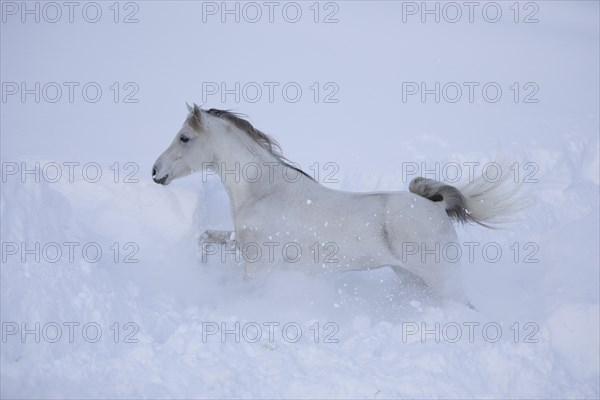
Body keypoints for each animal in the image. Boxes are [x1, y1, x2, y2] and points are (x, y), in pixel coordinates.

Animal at [152, 104, 524, 306]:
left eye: (184, 137)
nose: (156, 172)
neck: (264, 191)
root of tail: (435, 207)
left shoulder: (258, 267)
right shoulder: (239, 244)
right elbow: (204, 238)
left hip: (441, 280)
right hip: (411, 279)